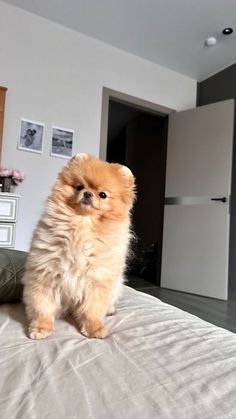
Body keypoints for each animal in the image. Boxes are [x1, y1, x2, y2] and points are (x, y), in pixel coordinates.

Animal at [23, 154, 136, 342]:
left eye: (103, 195)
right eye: (79, 187)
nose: (88, 193)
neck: (82, 226)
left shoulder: (97, 280)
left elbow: (92, 309)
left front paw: (94, 328)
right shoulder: (46, 274)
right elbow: (43, 306)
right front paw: (41, 327)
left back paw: (110, 309)